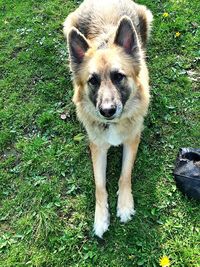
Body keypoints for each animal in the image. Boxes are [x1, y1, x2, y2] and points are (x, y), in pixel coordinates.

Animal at [63, 0, 153, 239]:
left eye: (118, 76)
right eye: (93, 81)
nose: (107, 111)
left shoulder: (132, 140)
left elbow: (125, 175)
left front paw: (124, 205)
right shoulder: (97, 147)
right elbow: (99, 186)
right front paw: (101, 218)